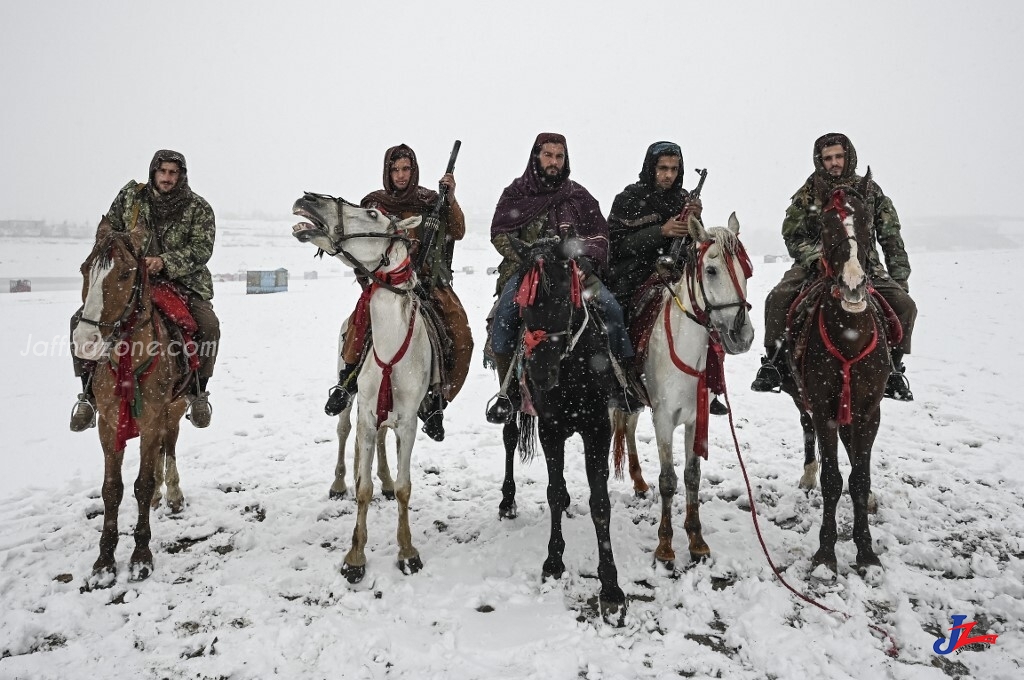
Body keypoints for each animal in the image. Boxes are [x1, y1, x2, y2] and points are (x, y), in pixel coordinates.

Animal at [74, 223, 192, 585]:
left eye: (125, 274)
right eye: (84, 269)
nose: (85, 342)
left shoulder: (153, 419)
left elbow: (142, 483)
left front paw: (141, 557)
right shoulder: (108, 424)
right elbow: (112, 489)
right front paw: (104, 561)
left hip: (175, 409)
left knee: (169, 446)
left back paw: (173, 494)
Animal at [292, 192, 432, 585]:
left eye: (371, 213)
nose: (308, 199)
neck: (390, 346)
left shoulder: (407, 423)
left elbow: (404, 487)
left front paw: (408, 552)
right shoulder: (367, 413)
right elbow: (363, 488)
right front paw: (355, 558)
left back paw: (383, 477)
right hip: (348, 398)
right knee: (344, 432)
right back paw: (341, 483)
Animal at [499, 237, 626, 614]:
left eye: (561, 300)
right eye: (523, 305)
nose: (540, 373)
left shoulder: (598, 429)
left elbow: (600, 503)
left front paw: (610, 586)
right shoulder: (550, 428)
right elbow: (553, 493)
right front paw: (553, 562)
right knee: (509, 436)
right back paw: (507, 501)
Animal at [610, 214, 757, 569]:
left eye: (746, 271)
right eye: (712, 270)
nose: (742, 335)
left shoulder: (695, 418)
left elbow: (692, 476)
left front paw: (696, 539)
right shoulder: (663, 419)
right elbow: (668, 480)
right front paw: (665, 546)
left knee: (629, 427)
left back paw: (638, 480)